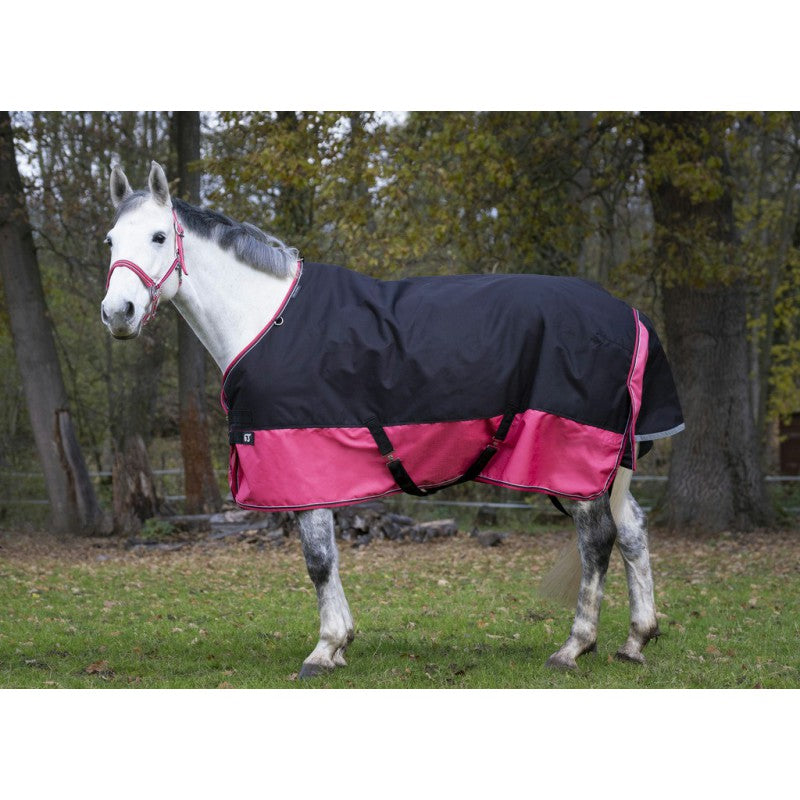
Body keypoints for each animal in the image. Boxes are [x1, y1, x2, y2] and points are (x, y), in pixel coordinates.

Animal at [101, 161, 684, 677]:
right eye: (110, 241)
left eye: (158, 236)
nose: (117, 314)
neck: (268, 318)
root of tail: (630, 315)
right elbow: (330, 558)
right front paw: (340, 644)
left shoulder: (302, 463)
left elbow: (318, 560)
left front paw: (324, 650)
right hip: (608, 463)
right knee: (632, 530)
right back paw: (635, 641)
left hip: (572, 458)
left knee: (599, 539)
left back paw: (573, 647)